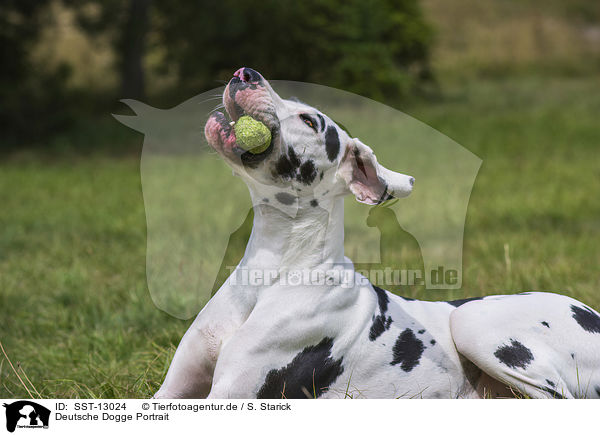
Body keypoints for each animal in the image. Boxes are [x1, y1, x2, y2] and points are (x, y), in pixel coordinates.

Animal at [156, 67, 600, 398]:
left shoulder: (229, 396)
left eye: (309, 120)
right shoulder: (171, 392)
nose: (245, 73)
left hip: (474, 323)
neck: (273, 270)